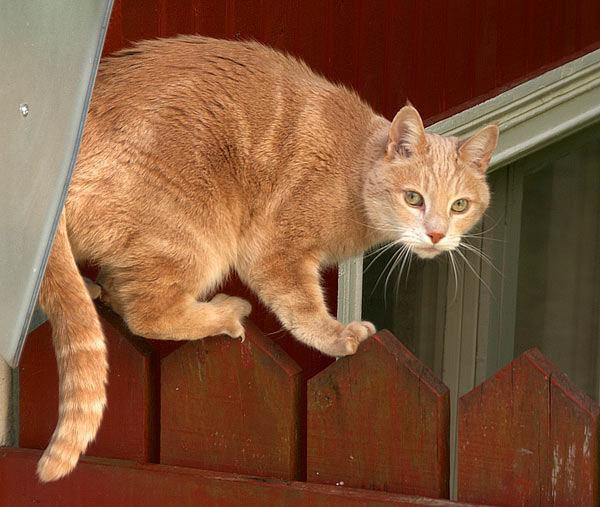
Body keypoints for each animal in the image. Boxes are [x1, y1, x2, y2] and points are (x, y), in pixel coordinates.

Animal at [36, 34, 496, 480]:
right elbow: (303, 308)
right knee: (146, 312)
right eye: (413, 198)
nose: (436, 234)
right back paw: (225, 312)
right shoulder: (276, 249)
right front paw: (337, 336)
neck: (353, 171)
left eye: (459, 205)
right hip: (196, 236)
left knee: (116, 290)